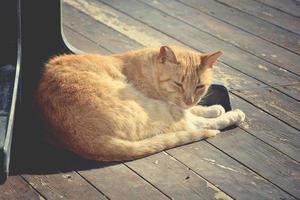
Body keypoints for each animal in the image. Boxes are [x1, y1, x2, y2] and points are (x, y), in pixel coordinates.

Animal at [36, 45, 245, 161]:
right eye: (178, 84)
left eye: (200, 86)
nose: (188, 99)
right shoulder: (172, 108)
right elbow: (195, 116)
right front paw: (220, 111)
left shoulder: (180, 106)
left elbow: (196, 110)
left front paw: (211, 108)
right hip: (154, 109)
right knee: (197, 126)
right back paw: (233, 116)